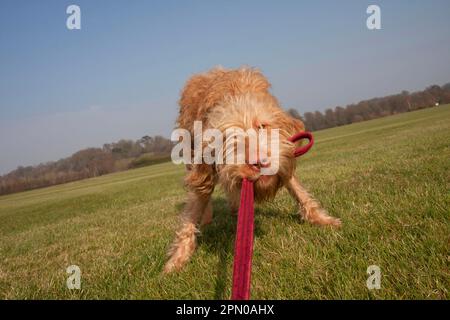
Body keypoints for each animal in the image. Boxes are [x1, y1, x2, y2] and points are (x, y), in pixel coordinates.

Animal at [163, 67, 340, 272]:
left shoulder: (283, 154)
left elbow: (297, 188)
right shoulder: (202, 169)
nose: (259, 161)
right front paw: (177, 258)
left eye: (262, 126)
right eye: (227, 139)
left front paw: (321, 219)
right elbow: (192, 211)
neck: (234, 95)